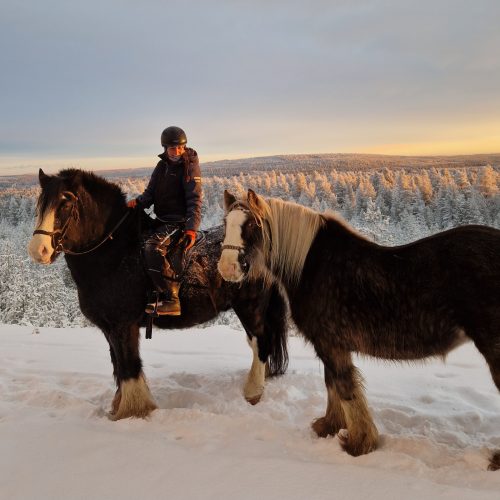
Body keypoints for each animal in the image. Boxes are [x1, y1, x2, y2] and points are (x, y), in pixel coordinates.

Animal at [27, 170, 288, 420]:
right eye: (41, 202)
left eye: (66, 202)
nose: (38, 250)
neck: (114, 253)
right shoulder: (109, 328)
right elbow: (118, 366)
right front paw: (119, 407)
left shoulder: (123, 326)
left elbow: (129, 367)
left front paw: (133, 410)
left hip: (250, 306)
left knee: (260, 342)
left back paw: (253, 392)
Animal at [218, 189, 500, 470]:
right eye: (225, 223)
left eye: (251, 224)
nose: (227, 267)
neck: (310, 266)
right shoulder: (332, 345)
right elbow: (332, 384)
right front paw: (329, 426)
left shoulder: (330, 345)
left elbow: (345, 389)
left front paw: (359, 444)